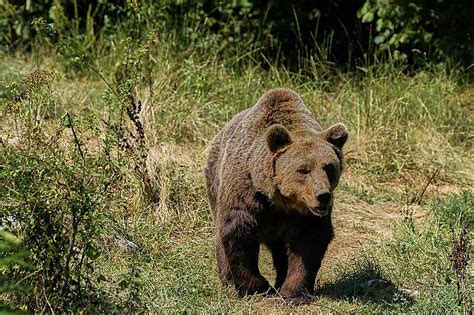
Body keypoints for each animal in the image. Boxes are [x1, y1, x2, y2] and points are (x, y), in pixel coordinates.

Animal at [204, 87, 348, 302]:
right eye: (303, 170)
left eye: (329, 167)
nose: (323, 195)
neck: (280, 200)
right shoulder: (246, 192)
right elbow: (238, 231)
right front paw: (256, 288)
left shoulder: (305, 215)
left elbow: (308, 243)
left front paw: (294, 292)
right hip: (215, 180)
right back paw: (228, 279)